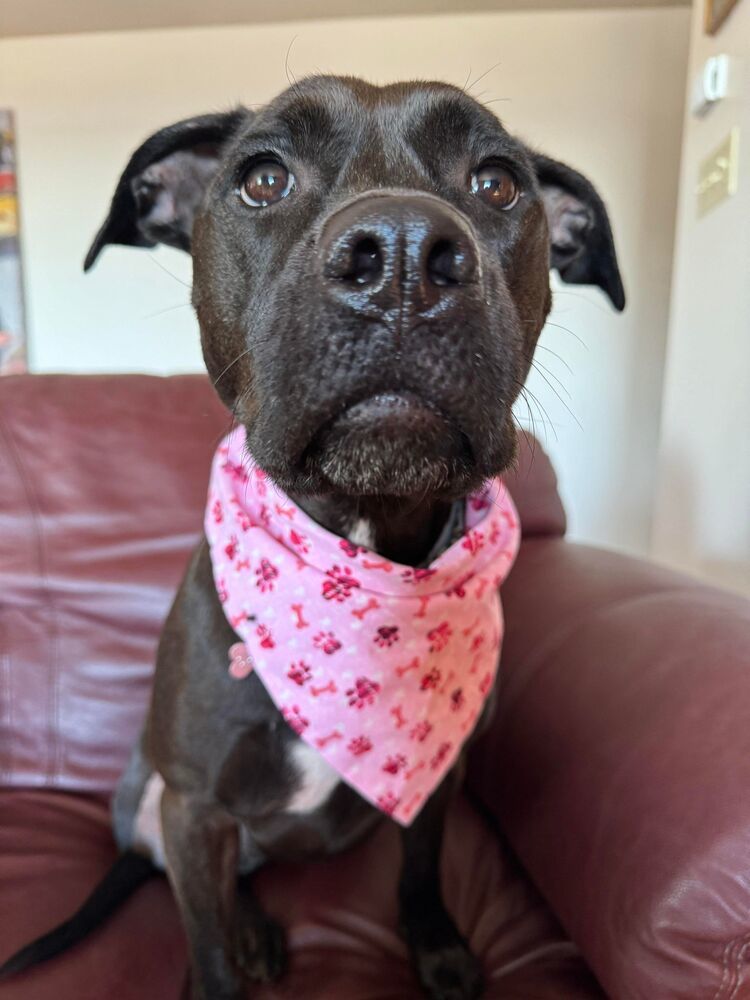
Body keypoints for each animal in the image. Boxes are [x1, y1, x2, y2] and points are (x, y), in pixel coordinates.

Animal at [0, 74, 624, 996]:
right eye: (263, 179)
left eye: (498, 183)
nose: (402, 254)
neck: (359, 552)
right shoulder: (194, 807)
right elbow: (207, 943)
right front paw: (225, 966)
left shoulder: (439, 781)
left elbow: (420, 869)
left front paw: (436, 945)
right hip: (150, 806)